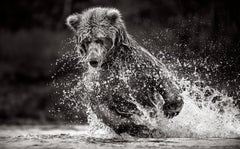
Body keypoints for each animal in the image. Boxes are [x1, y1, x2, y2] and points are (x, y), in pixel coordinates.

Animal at [66, 7, 184, 137]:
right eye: (86, 40)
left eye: (99, 39)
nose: (93, 60)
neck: (113, 59)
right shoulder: (100, 81)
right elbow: (103, 107)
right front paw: (140, 127)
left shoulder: (139, 63)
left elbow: (161, 76)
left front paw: (170, 109)